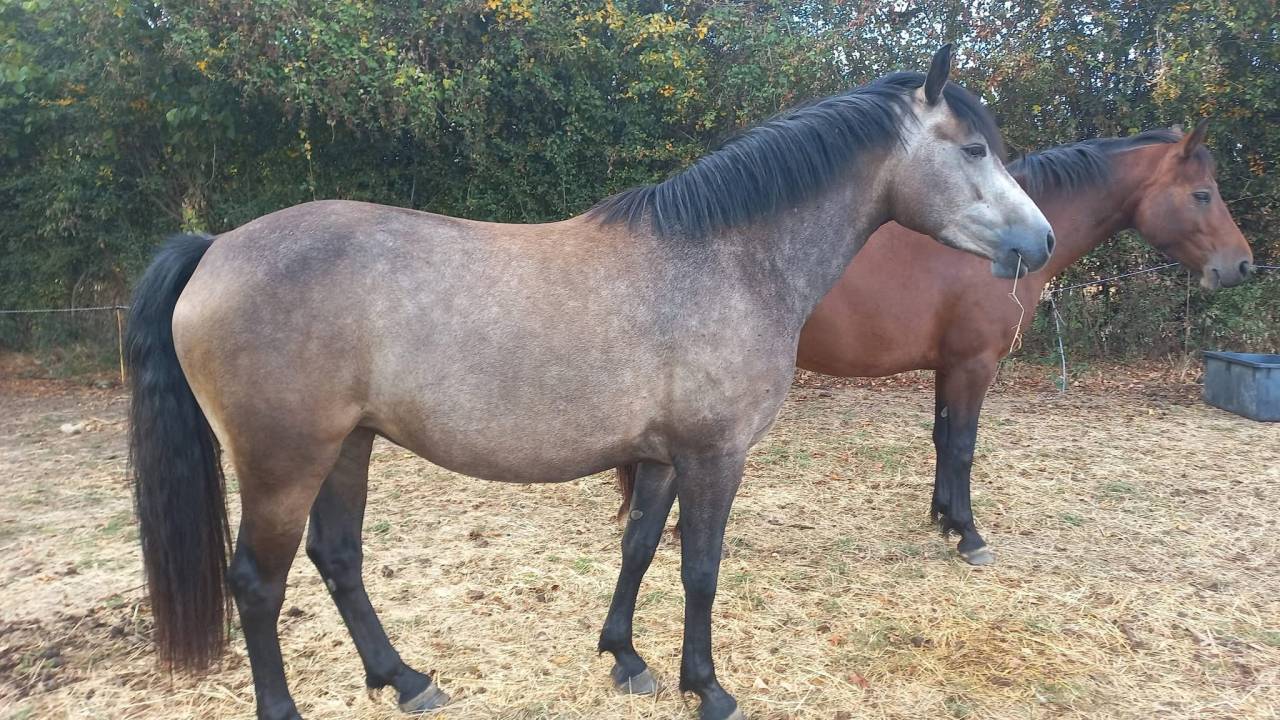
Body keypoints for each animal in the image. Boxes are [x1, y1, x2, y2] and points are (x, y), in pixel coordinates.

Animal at [126, 46, 1053, 720]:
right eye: (974, 149)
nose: (1040, 241)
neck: (727, 259)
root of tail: (214, 248)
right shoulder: (715, 456)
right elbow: (701, 568)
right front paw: (706, 687)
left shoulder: (663, 456)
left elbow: (640, 549)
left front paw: (626, 659)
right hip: (284, 461)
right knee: (259, 583)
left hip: (347, 444)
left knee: (339, 559)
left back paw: (407, 679)